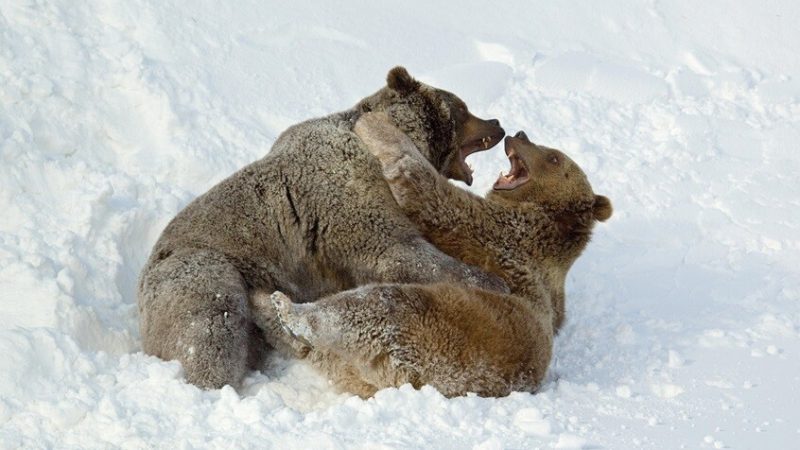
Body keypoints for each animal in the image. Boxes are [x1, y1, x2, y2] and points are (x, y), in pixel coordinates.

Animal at [134, 67, 504, 390]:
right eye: (462, 108)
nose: (497, 123)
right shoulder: (348, 199)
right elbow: (401, 252)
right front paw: (491, 281)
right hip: (201, 267)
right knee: (211, 325)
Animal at [253, 112, 616, 398]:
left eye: (554, 158)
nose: (521, 134)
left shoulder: (497, 232)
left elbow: (425, 190)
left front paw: (374, 123)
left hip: (443, 331)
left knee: (371, 308)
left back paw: (289, 310)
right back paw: (264, 305)